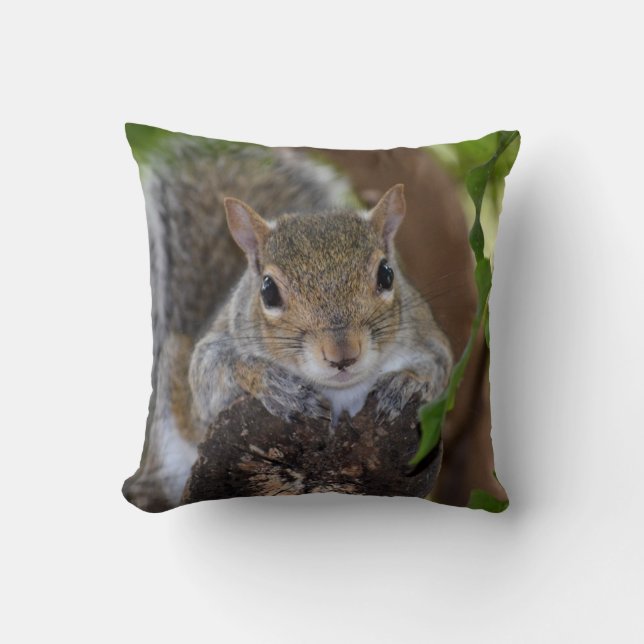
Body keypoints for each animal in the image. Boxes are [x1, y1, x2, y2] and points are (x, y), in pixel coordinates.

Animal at [123, 140, 452, 511]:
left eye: (387, 274)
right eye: (268, 290)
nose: (342, 354)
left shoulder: (425, 338)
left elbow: (439, 369)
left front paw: (403, 382)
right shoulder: (214, 357)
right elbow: (212, 378)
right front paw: (274, 384)